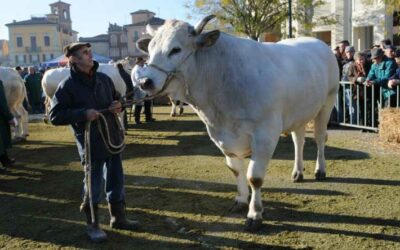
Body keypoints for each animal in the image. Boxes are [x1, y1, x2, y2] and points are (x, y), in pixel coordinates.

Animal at [136, 15, 340, 230]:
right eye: (149, 49)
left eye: (175, 49)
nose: (144, 82)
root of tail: (318, 43)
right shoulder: (221, 136)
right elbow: (235, 170)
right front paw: (241, 201)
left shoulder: (265, 134)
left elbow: (254, 177)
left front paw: (255, 214)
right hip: (299, 113)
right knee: (298, 140)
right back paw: (298, 172)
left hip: (327, 102)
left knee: (319, 138)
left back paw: (320, 170)